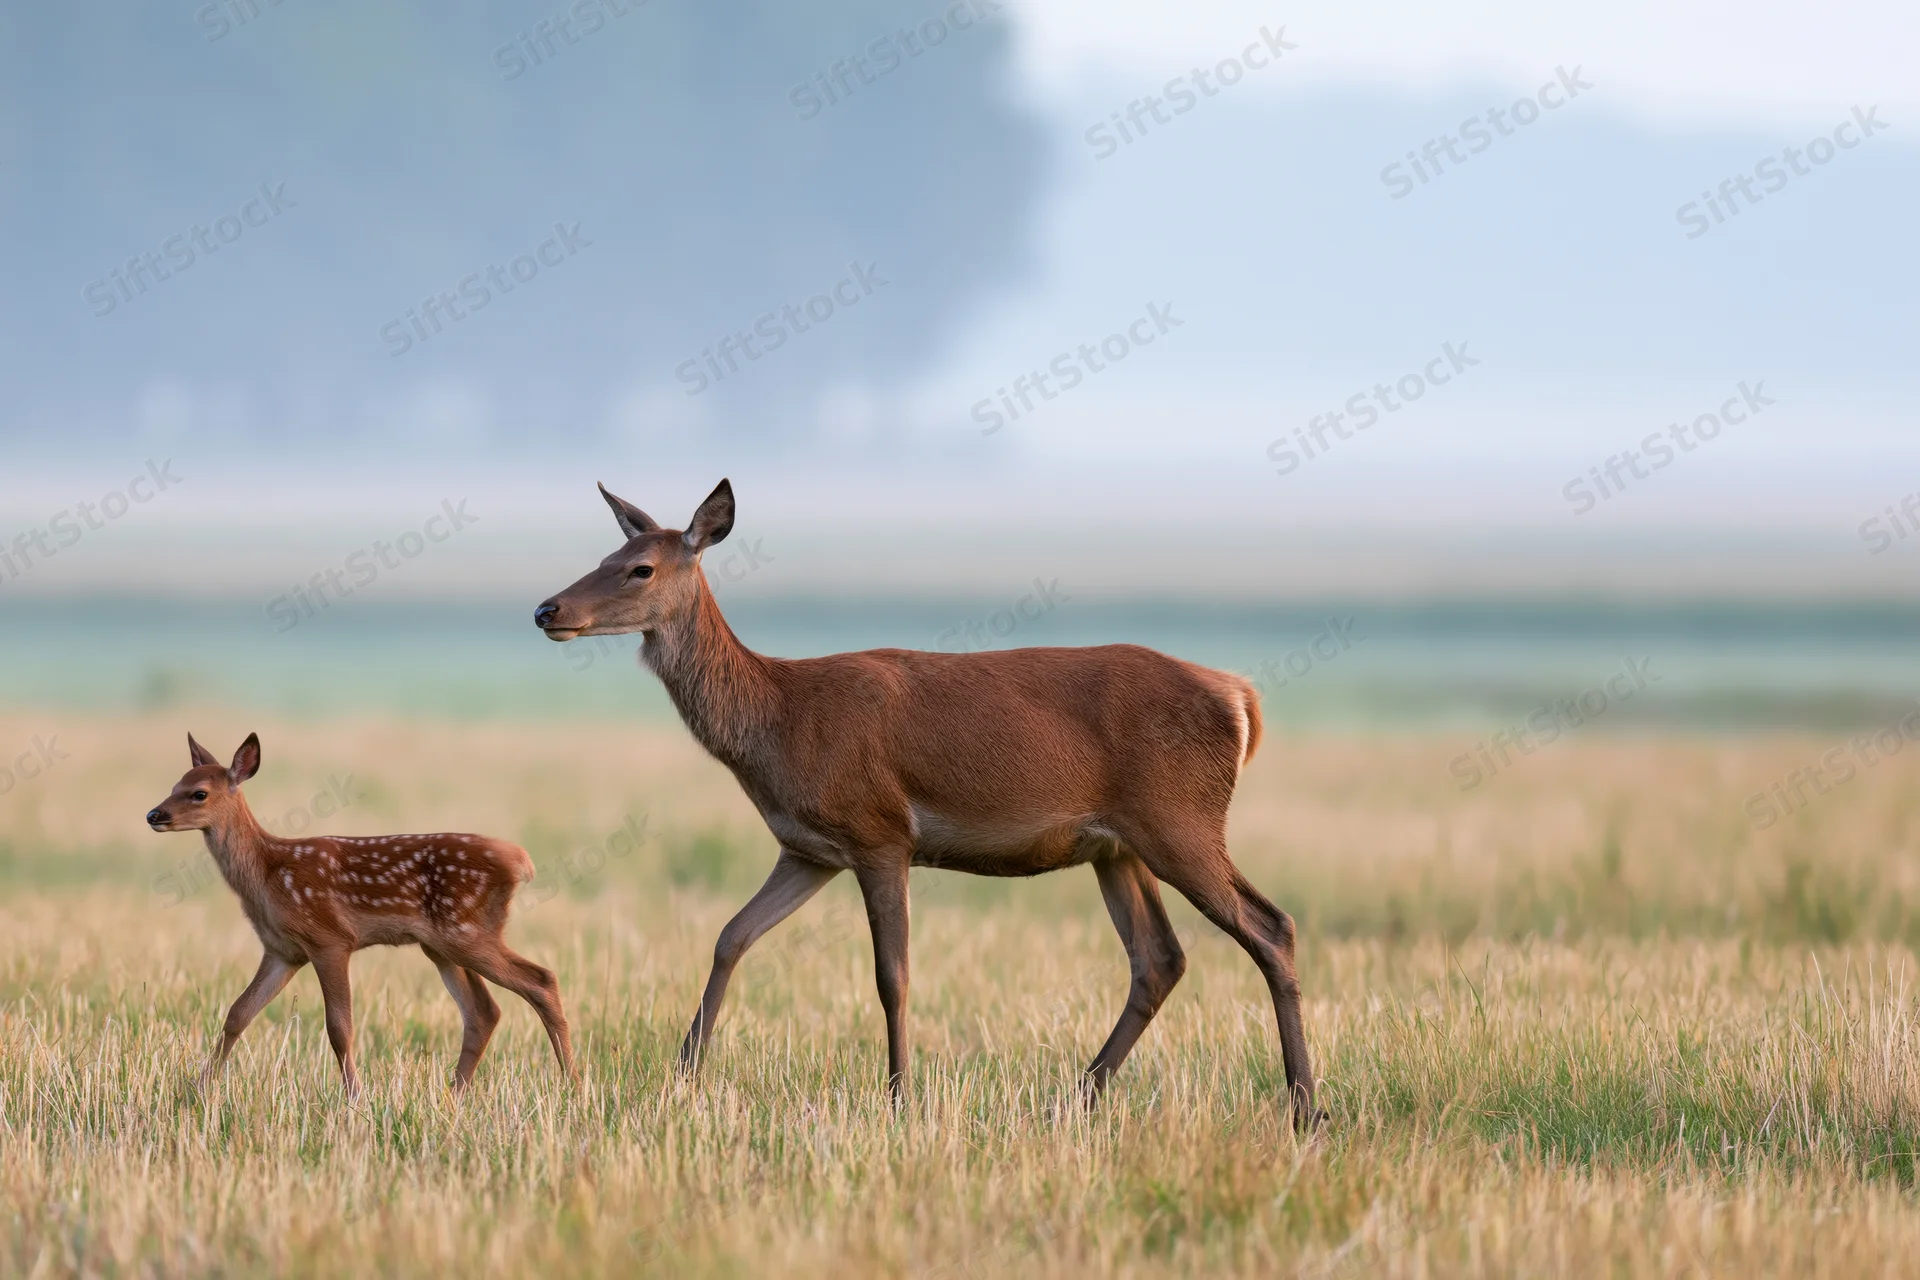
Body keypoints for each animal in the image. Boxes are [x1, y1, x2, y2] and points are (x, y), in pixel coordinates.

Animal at [145, 733, 574, 1095]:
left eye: (199, 793)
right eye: (174, 785)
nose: (154, 815)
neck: (267, 874)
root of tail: (520, 861)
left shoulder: (329, 938)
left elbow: (340, 1028)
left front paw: (355, 1098)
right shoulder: (282, 951)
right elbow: (238, 1014)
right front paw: (196, 1090)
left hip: (466, 930)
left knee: (540, 980)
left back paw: (571, 1086)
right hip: (442, 945)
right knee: (483, 1011)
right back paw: (454, 1096)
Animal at [534, 480, 1321, 1128]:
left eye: (641, 567)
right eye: (607, 551)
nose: (547, 609)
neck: (779, 722)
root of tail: (1240, 699)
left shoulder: (880, 832)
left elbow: (893, 976)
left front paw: (899, 1099)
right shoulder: (808, 849)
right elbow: (731, 935)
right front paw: (681, 1081)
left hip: (1180, 820)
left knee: (1270, 925)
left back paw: (1306, 1108)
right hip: (1118, 847)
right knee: (1159, 959)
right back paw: (1074, 1100)